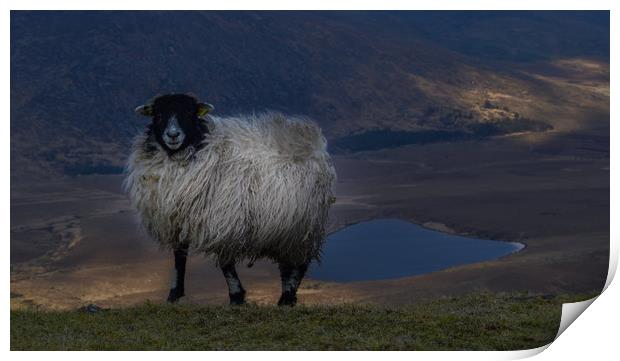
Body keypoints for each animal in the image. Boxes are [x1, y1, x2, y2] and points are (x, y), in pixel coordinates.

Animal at [124, 93, 336, 304]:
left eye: (189, 113)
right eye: (158, 114)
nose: (173, 135)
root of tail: (312, 138)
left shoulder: (224, 221)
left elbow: (225, 263)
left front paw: (236, 296)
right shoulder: (177, 221)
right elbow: (179, 257)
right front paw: (174, 295)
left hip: (303, 226)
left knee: (300, 264)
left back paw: (287, 298)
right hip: (287, 229)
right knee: (287, 266)